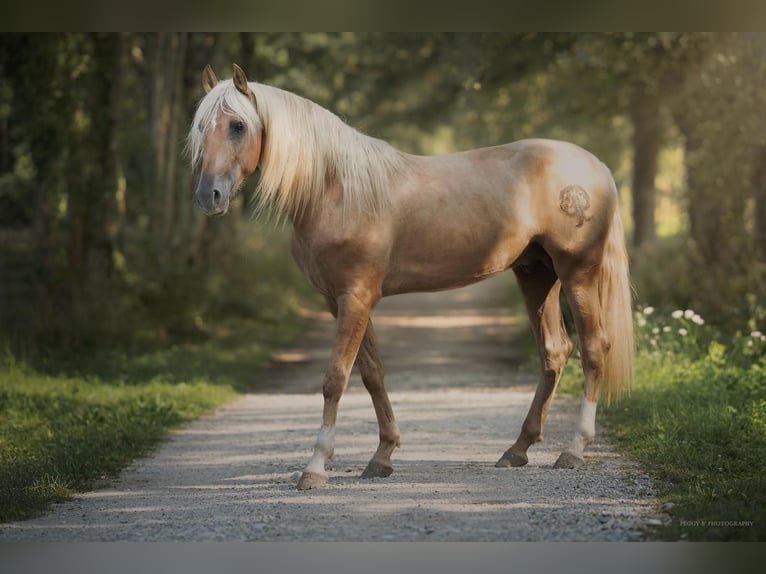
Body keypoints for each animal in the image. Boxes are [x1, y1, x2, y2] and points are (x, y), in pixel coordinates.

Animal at [188, 65, 636, 492]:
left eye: (238, 126)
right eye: (201, 127)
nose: (209, 196)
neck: (338, 190)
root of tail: (595, 166)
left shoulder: (355, 297)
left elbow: (335, 378)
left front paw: (315, 466)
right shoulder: (340, 301)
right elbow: (372, 374)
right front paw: (382, 456)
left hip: (577, 272)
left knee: (593, 348)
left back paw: (573, 450)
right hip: (537, 275)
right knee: (555, 352)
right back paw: (517, 449)